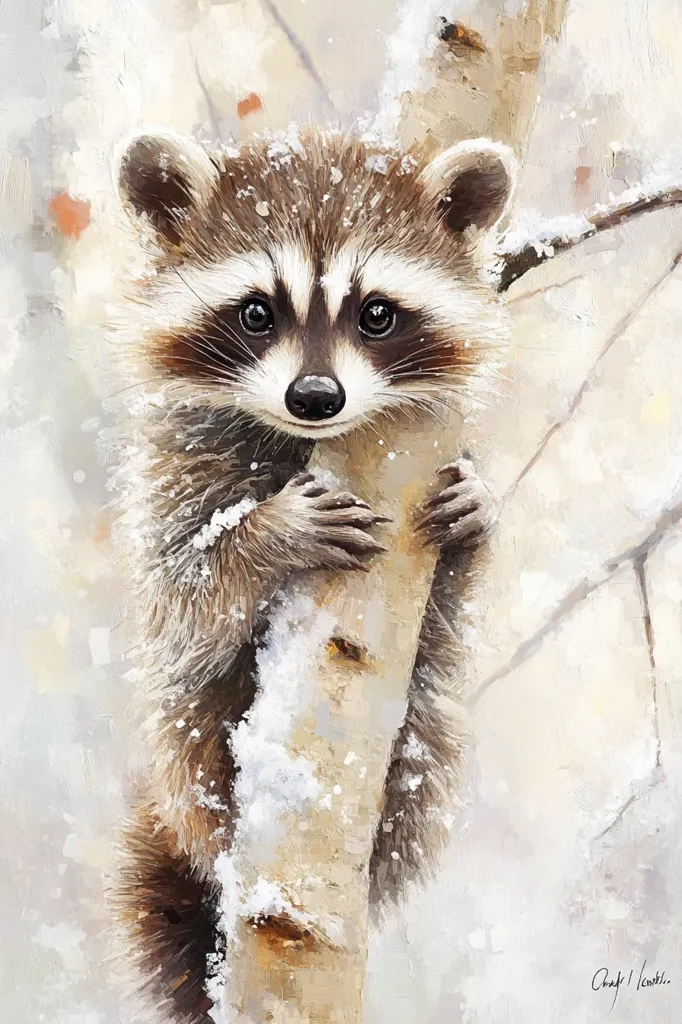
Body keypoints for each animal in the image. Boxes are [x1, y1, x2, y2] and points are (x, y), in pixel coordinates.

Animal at [111, 127, 514, 1022]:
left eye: (377, 313)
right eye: (258, 312)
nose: (317, 396)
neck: (293, 436)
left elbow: (455, 590)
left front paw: (478, 516)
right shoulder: (171, 470)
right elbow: (183, 593)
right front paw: (266, 536)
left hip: (424, 734)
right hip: (186, 744)